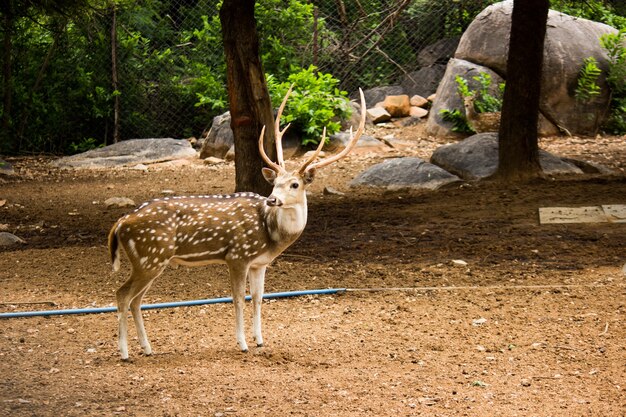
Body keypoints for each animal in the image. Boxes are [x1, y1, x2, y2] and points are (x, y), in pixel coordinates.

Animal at [108, 86, 366, 360]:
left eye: (295, 184)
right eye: (275, 183)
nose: (272, 199)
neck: (270, 234)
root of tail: (120, 223)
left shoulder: (259, 263)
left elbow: (258, 298)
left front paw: (260, 340)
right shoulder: (237, 256)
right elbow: (238, 298)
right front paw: (242, 343)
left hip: (153, 261)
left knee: (136, 299)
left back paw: (147, 349)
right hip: (150, 257)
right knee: (122, 295)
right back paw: (124, 352)